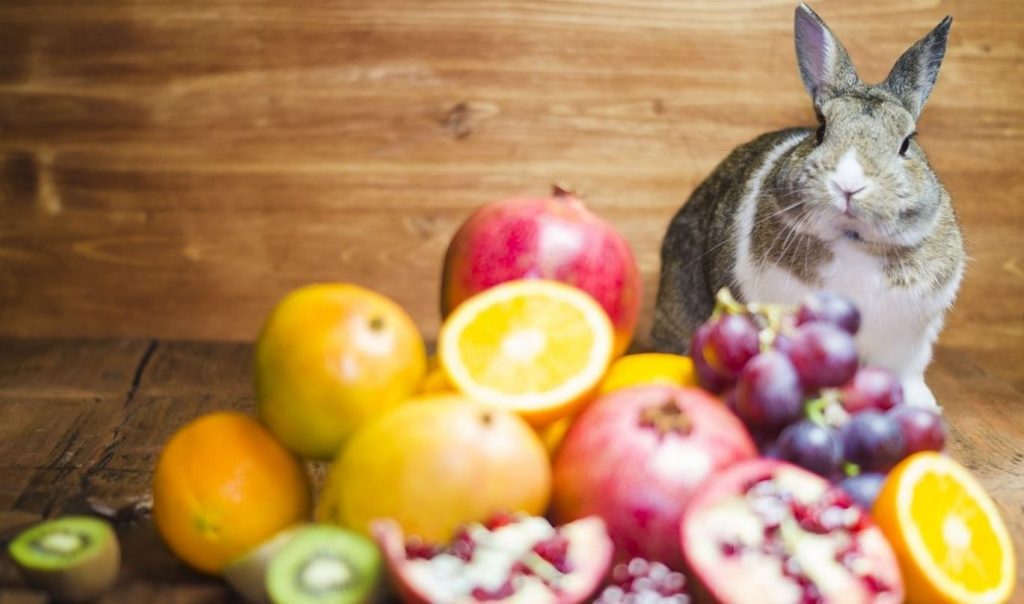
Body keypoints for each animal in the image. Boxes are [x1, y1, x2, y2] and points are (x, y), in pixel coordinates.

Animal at [652, 3, 965, 408]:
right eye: (820, 130)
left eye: (906, 143)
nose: (848, 185)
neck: (853, 241)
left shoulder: (908, 342)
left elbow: (908, 374)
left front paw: (922, 405)